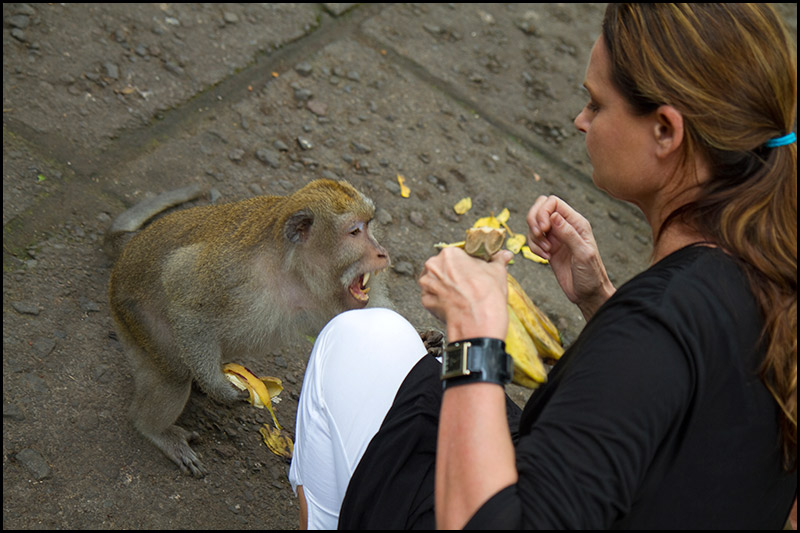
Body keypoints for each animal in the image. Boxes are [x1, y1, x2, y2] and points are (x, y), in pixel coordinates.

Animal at [108, 179, 390, 474]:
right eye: (355, 231)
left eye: (369, 225)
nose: (382, 253)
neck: (294, 271)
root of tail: (130, 246)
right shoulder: (230, 270)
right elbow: (185, 295)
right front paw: (217, 387)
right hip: (135, 315)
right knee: (173, 374)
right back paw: (154, 428)